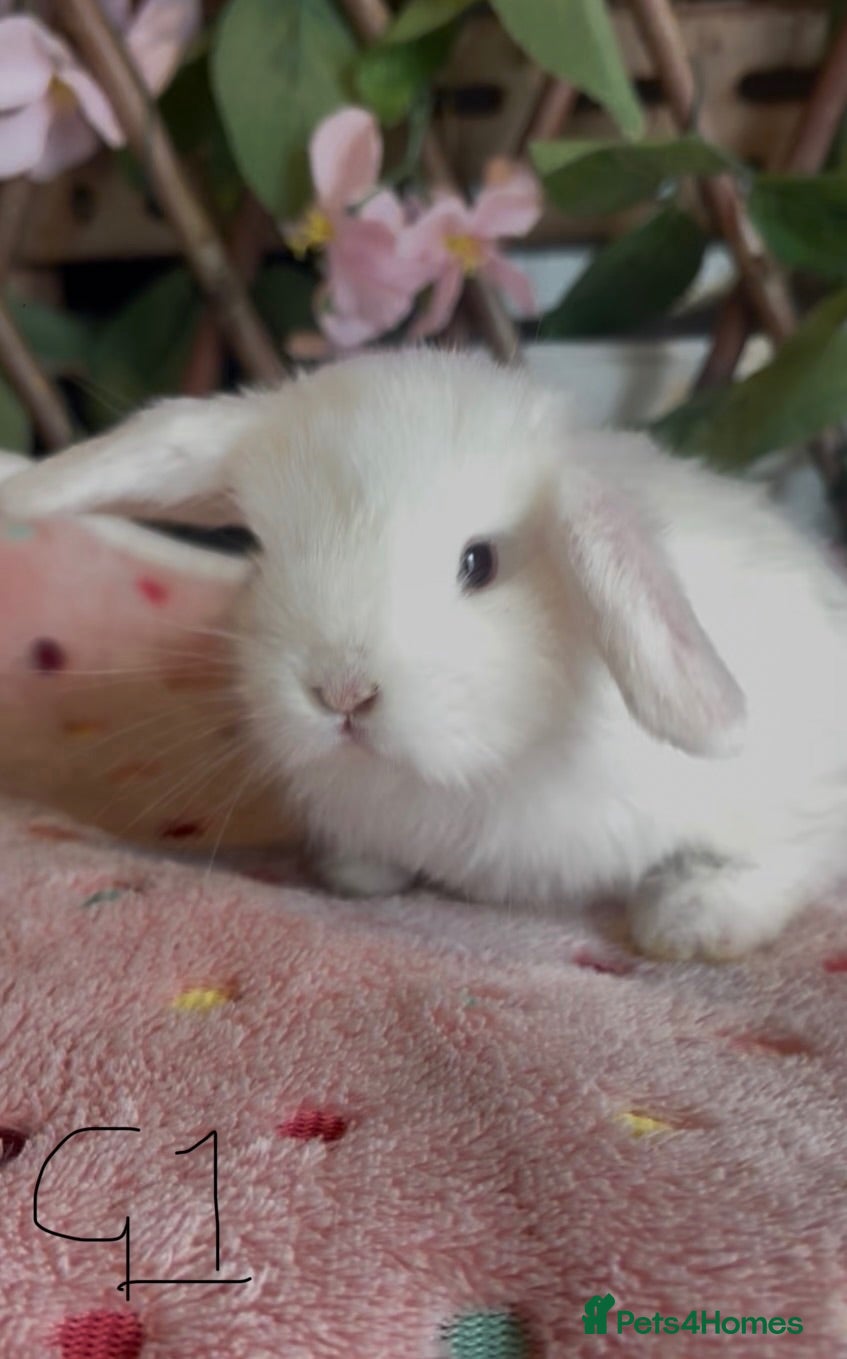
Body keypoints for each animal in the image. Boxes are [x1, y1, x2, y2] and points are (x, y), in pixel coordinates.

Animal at [3, 347, 847, 961]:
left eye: (480, 563)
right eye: (262, 553)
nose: (341, 691)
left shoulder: (788, 796)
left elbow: (785, 857)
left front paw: (691, 922)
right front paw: (356, 872)